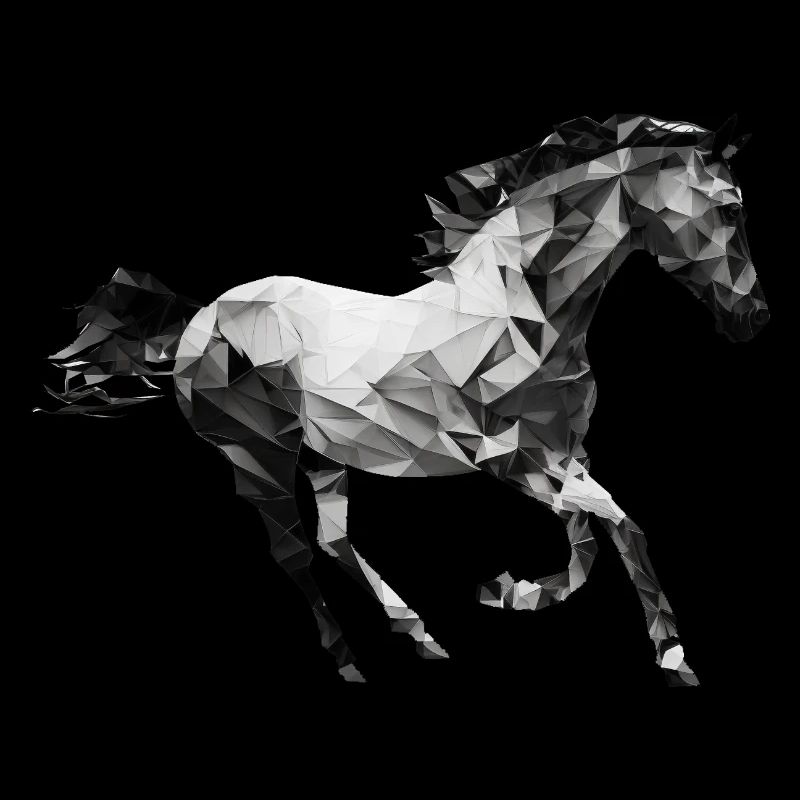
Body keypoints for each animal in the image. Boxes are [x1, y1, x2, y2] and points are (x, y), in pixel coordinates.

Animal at [39, 113, 769, 687]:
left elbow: (599, 530)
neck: (518, 316)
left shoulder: (565, 451)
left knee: (334, 540)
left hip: (326, 458)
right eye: (730, 207)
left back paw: (423, 639)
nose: (751, 320)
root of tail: (196, 323)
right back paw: (352, 666)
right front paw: (528, 599)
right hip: (258, 460)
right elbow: (610, 524)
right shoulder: (509, 459)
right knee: (294, 555)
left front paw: (531, 599)